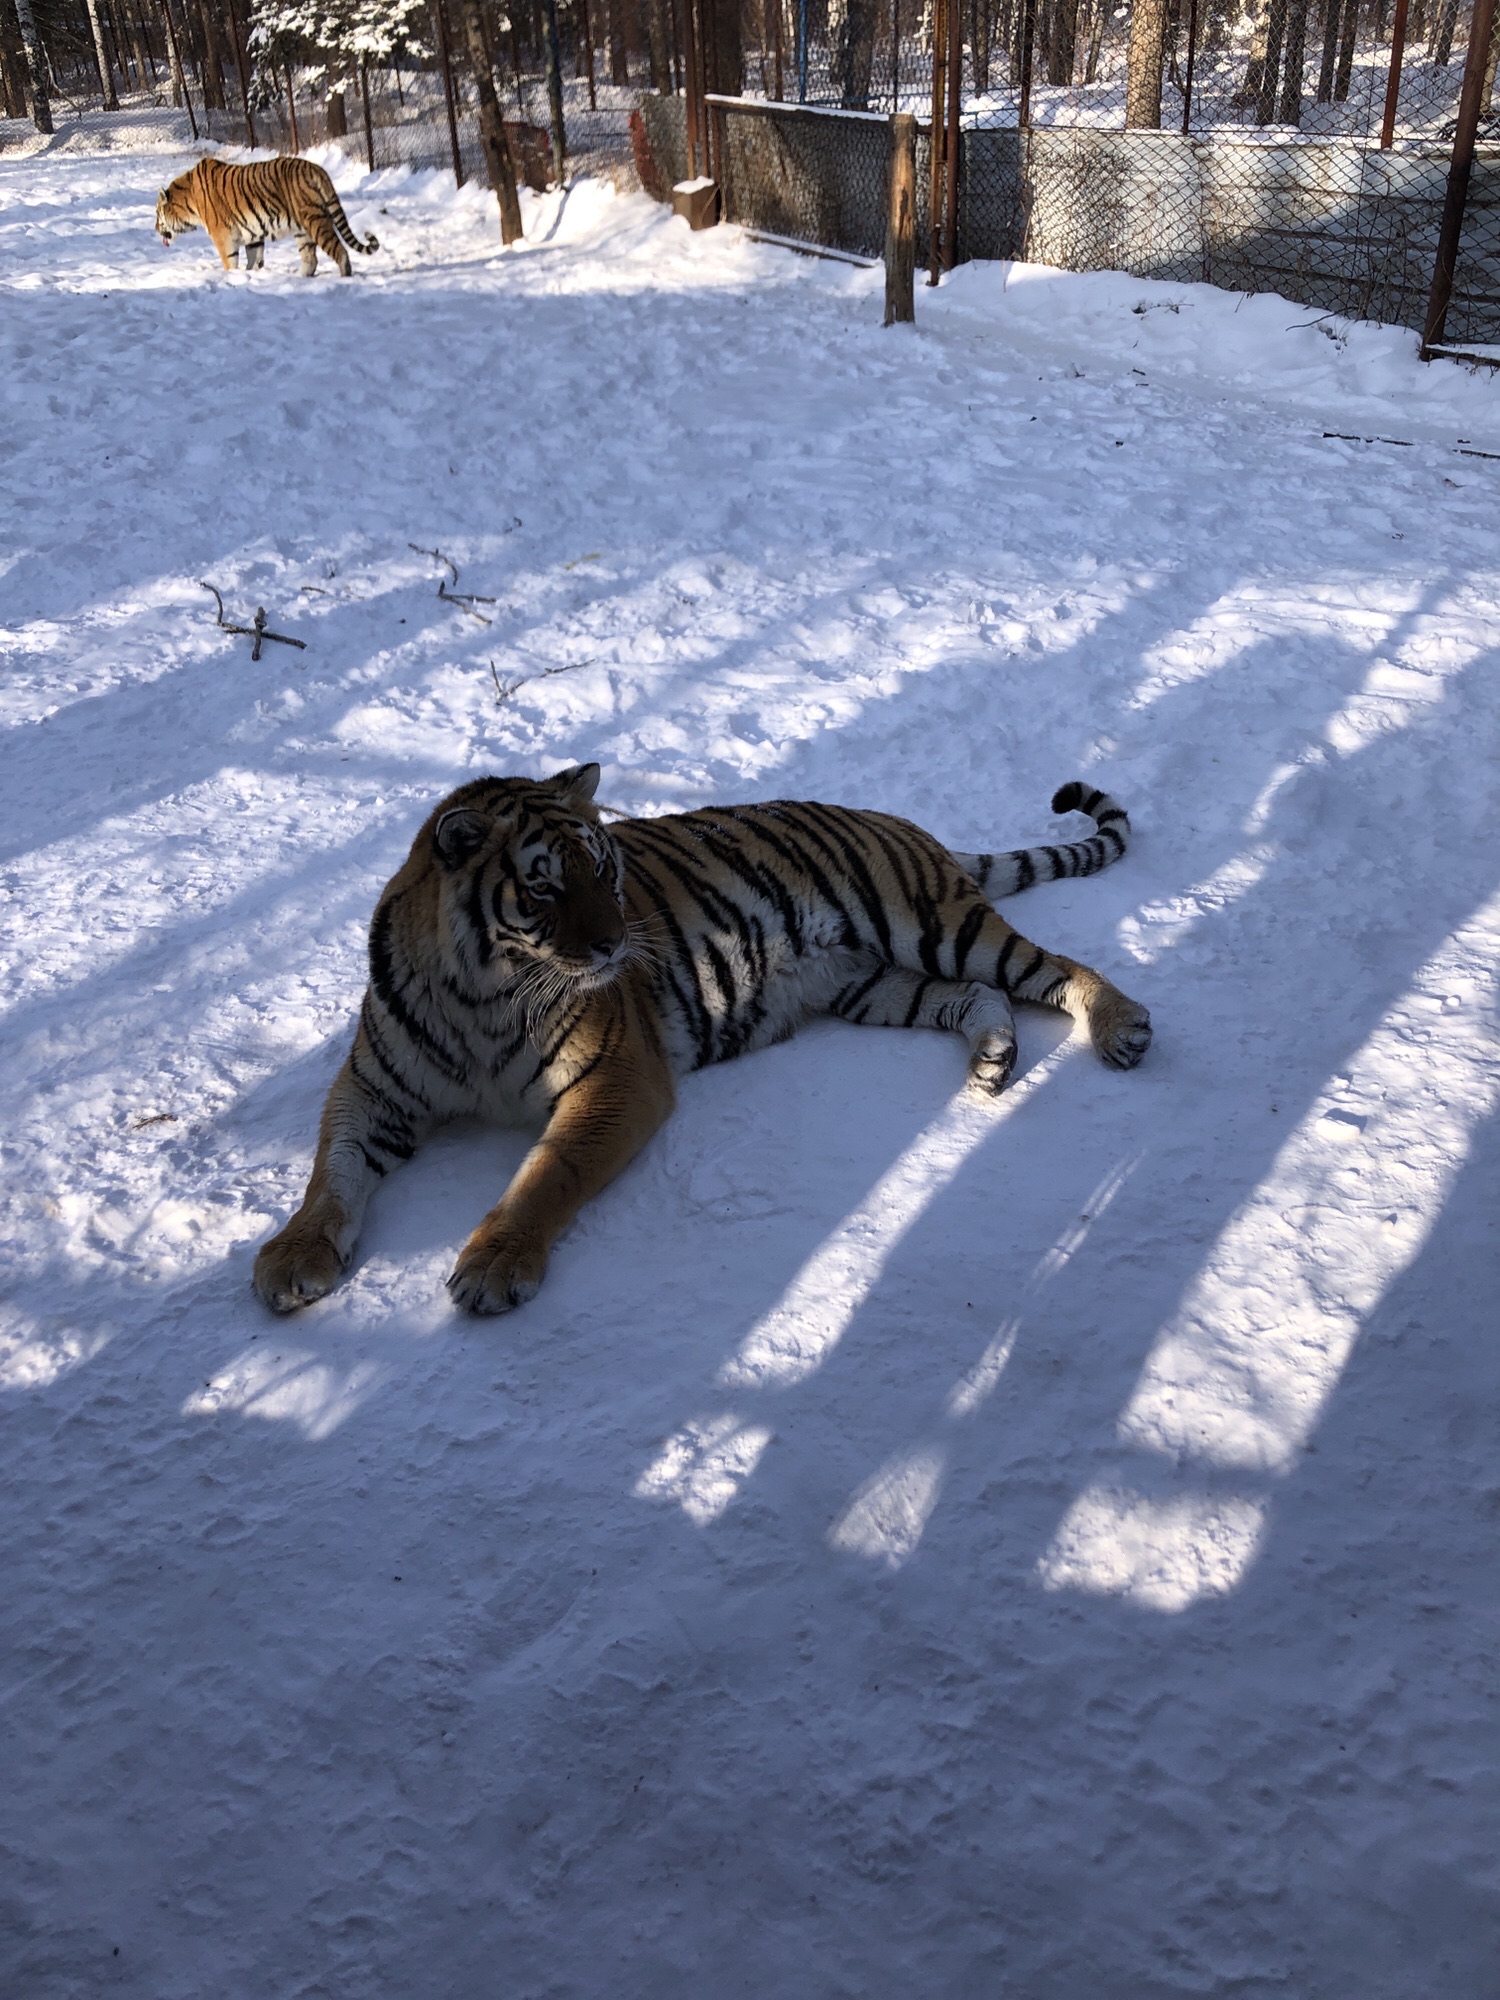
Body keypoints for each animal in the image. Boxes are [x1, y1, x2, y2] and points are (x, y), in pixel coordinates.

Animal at [154, 156, 379, 277]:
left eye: (157, 214)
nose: (155, 229)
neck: (188, 203)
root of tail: (316, 168)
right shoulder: (252, 234)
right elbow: (254, 260)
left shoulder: (223, 236)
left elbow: (230, 262)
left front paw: (231, 278)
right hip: (302, 230)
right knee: (311, 259)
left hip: (315, 222)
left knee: (340, 251)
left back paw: (345, 277)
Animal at [252, 768, 1151, 1317]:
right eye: (544, 888)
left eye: (604, 870)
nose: (617, 944)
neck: (482, 995)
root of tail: (899, 822)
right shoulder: (374, 1089)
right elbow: (330, 1172)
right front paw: (291, 1258)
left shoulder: (616, 1076)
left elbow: (546, 1173)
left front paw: (494, 1265)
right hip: (872, 982)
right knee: (981, 996)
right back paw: (992, 1060)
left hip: (933, 926)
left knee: (1057, 967)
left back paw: (1122, 1028)